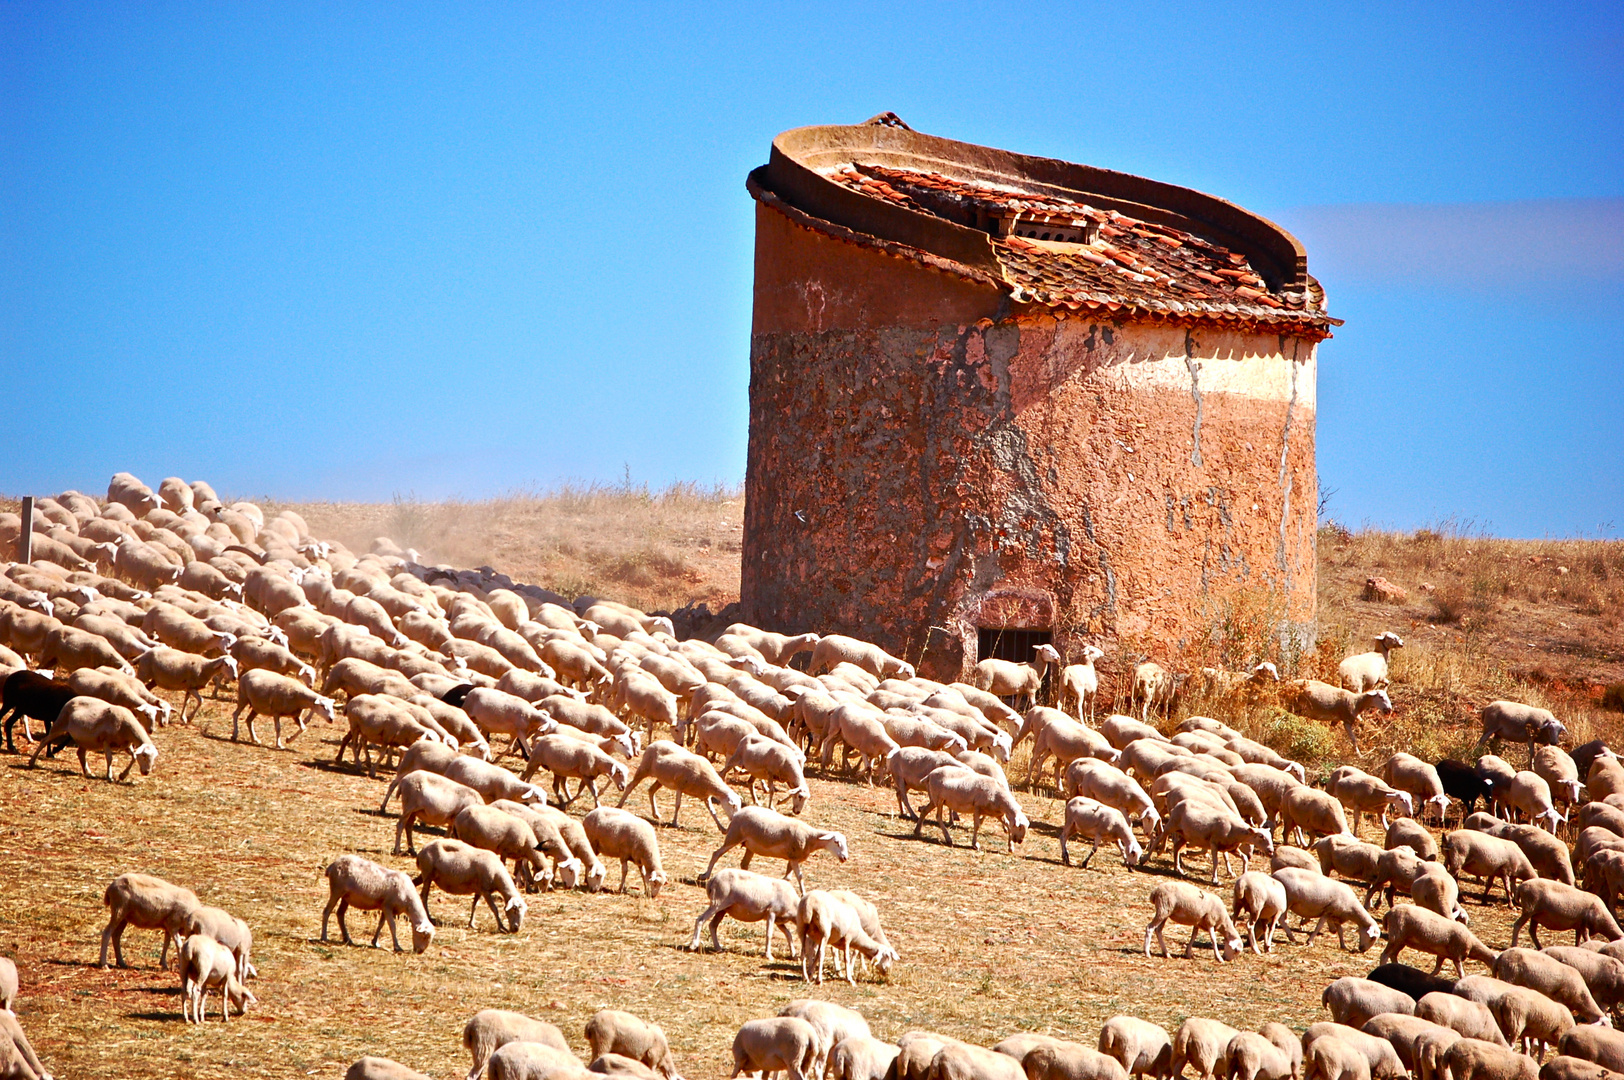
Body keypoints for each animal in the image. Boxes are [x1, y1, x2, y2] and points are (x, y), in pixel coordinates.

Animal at [27, 695, 155, 779]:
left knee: (80, 753)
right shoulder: (106, 740)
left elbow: (134, 757)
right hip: (60, 724)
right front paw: (109, 776)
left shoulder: (125, 745)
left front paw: (123, 775)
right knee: (44, 740)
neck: (126, 725)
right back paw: (31, 762)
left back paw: (88, 772)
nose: (146, 772)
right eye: (144, 755)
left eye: (154, 757)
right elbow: (109, 758)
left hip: (84, 739)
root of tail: (74, 698)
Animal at [701, 799, 850, 889]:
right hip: (733, 836)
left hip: (749, 846)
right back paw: (705, 875)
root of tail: (737, 813)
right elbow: (800, 877)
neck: (810, 837)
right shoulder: (794, 857)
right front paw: (803, 894)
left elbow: (788, 877)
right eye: (836, 842)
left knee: (744, 864)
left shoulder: (792, 858)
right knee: (716, 853)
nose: (845, 858)